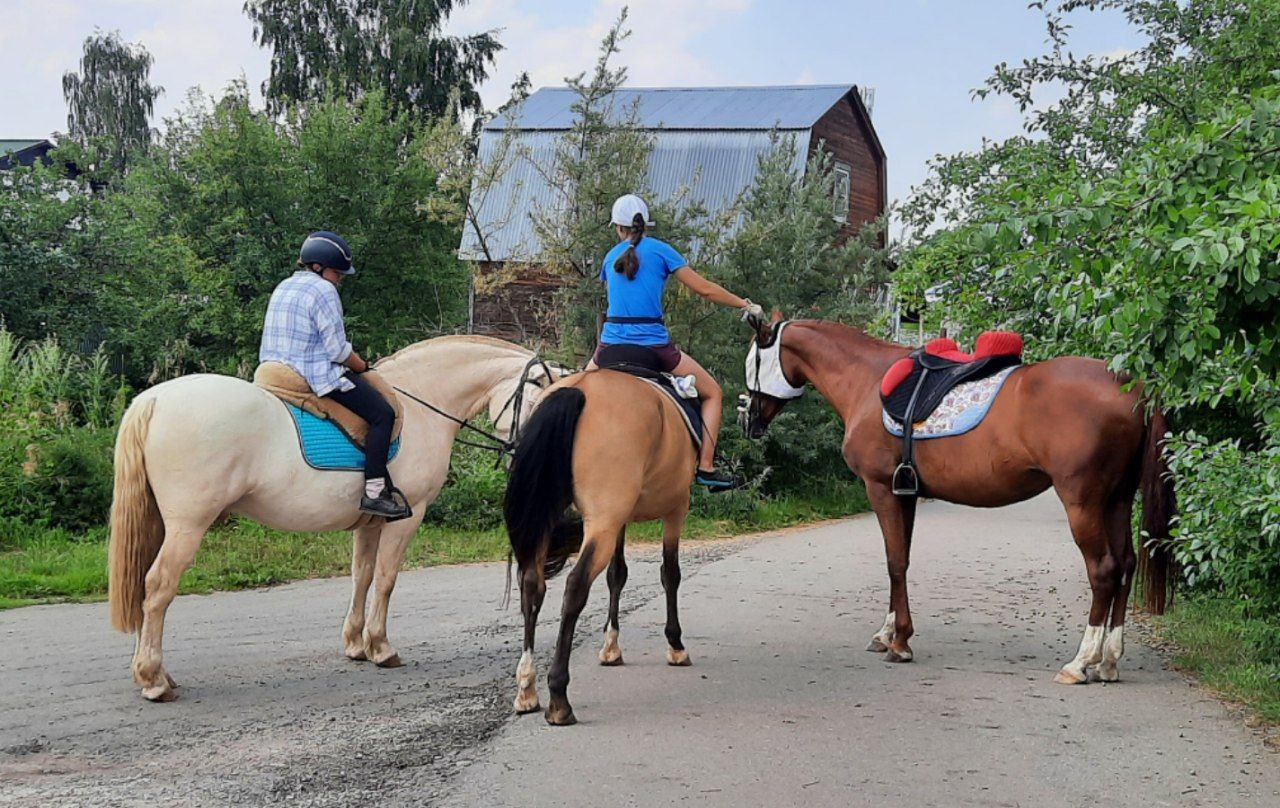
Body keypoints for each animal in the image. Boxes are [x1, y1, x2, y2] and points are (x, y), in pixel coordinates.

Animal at [107, 335, 552, 701]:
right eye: (539, 397)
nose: (533, 454)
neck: (421, 403)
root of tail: (153, 401)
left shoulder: (371, 523)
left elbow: (362, 576)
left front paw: (356, 644)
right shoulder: (407, 519)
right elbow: (386, 579)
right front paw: (381, 647)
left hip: (162, 525)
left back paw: (155, 672)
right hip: (187, 528)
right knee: (157, 588)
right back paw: (153, 679)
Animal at [501, 366, 701, 727]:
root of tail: (580, 389)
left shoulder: (620, 519)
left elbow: (617, 575)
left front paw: (611, 646)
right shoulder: (676, 509)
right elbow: (670, 573)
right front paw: (675, 645)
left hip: (567, 515)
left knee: (532, 585)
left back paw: (527, 688)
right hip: (604, 519)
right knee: (575, 585)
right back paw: (558, 699)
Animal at [737, 312, 1172, 686]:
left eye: (753, 360)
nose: (747, 419)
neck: (867, 380)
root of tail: (1131, 386)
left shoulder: (880, 488)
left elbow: (894, 561)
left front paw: (900, 642)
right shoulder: (906, 492)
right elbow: (902, 559)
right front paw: (888, 632)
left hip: (1082, 501)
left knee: (1104, 570)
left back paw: (1080, 662)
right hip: (1116, 499)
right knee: (1126, 565)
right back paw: (1109, 661)